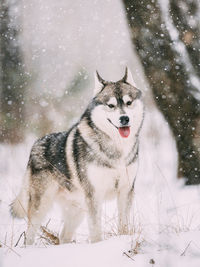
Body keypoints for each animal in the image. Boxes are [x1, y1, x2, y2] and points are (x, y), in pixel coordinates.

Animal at [10, 68, 144, 245]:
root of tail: (35, 144)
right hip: (42, 207)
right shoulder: (94, 195)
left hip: (77, 211)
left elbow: (124, 225)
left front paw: (123, 239)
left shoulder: (126, 191)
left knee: (63, 236)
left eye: (129, 103)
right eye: (111, 105)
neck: (116, 149)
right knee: (29, 235)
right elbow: (95, 231)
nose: (124, 118)